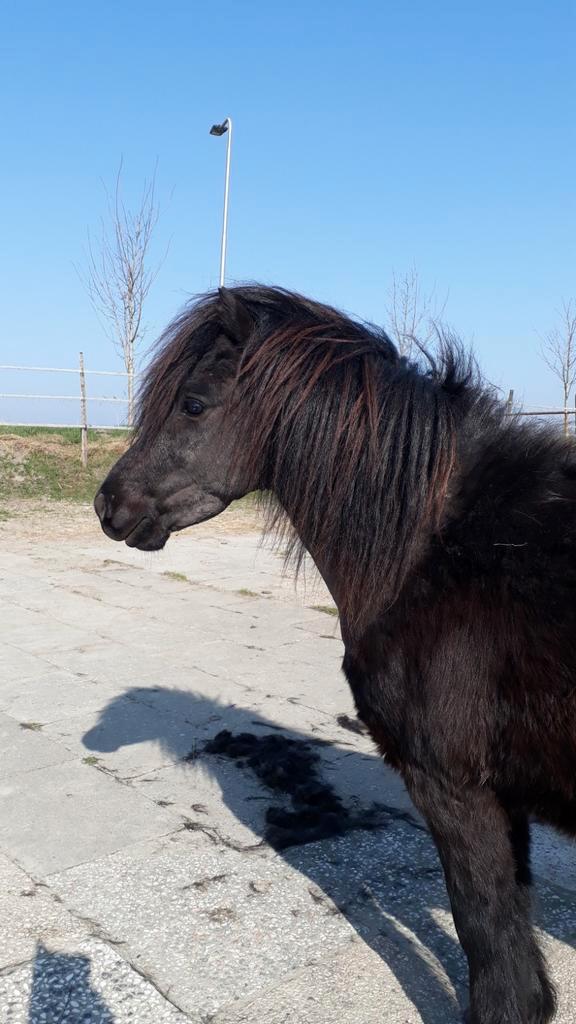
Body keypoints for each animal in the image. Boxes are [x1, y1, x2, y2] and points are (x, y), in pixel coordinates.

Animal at [94, 284, 576, 1024]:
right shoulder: (503, 797)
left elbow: (488, 940)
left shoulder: (455, 790)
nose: (108, 505)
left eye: (193, 403)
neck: (440, 551)